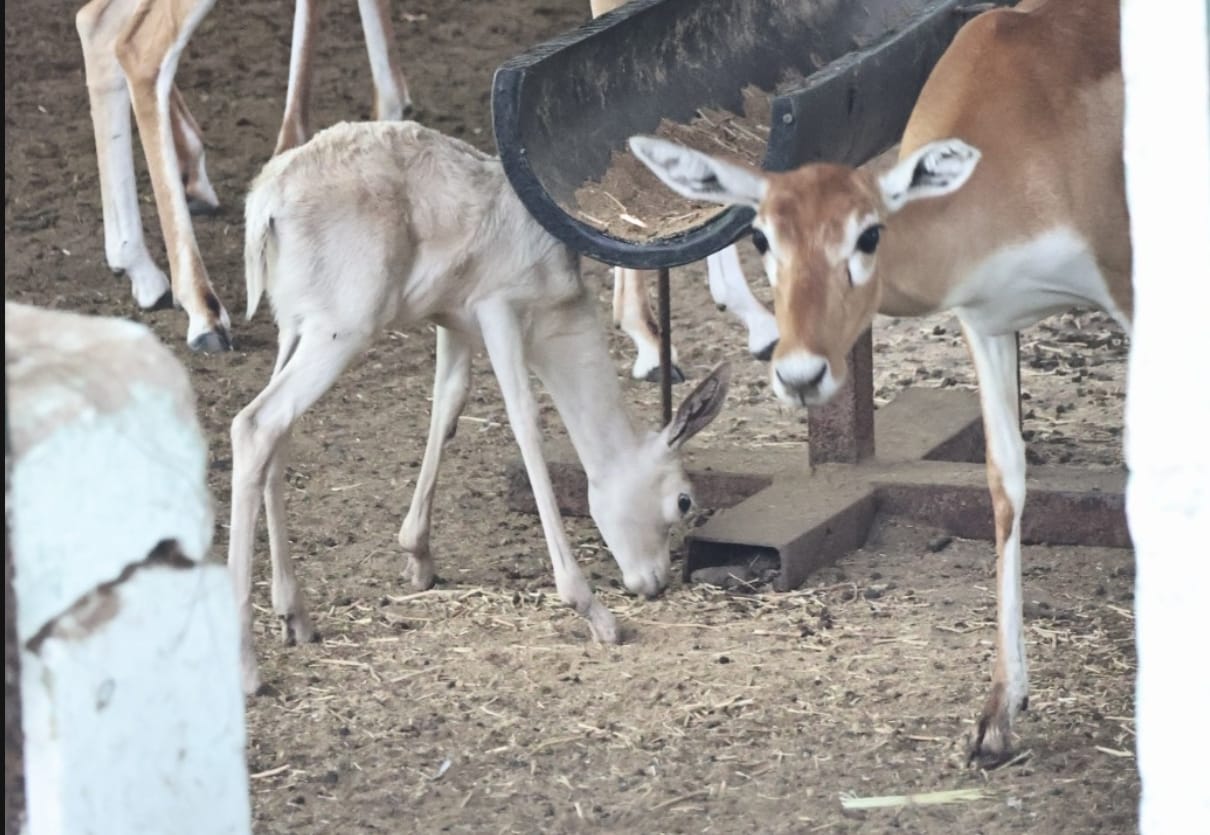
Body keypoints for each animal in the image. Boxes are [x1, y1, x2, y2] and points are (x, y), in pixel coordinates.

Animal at [230, 119, 732, 695]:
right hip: (341, 330)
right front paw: (596, 613)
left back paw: (296, 616)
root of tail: (267, 197)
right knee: (254, 425)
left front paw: (419, 558)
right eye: (684, 501)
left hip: (294, 329)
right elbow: (524, 423)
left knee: (279, 438)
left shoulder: (452, 321)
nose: (656, 582)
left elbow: (448, 406)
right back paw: (247, 668)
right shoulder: (499, 310)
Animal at [628, 0, 1131, 765]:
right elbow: (1005, 483)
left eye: (868, 235)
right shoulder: (985, 319)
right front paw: (997, 716)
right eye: (761, 237)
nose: (801, 372)